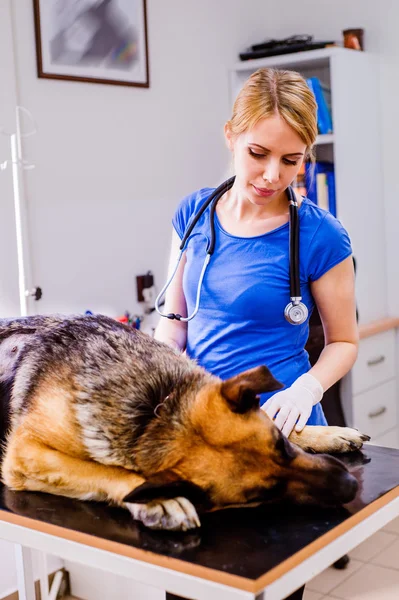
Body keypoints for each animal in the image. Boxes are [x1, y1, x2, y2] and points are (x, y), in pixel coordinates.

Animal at [0, 314, 370, 528]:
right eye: (262, 495)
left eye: (281, 445)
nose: (350, 486)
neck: (156, 407)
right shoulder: (24, 455)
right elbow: (108, 472)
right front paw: (158, 499)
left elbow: (283, 419)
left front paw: (326, 433)